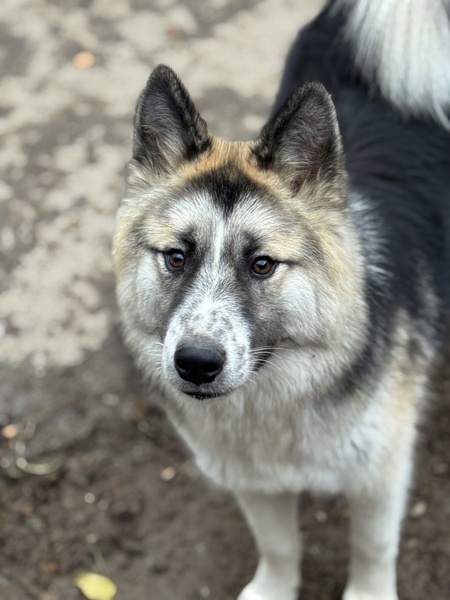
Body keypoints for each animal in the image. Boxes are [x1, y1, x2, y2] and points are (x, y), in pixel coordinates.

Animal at [112, 0, 450, 598]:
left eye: (262, 264)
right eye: (176, 257)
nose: (196, 363)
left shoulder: (380, 477)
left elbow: (372, 548)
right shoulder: (253, 479)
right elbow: (278, 544)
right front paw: (273, 588)